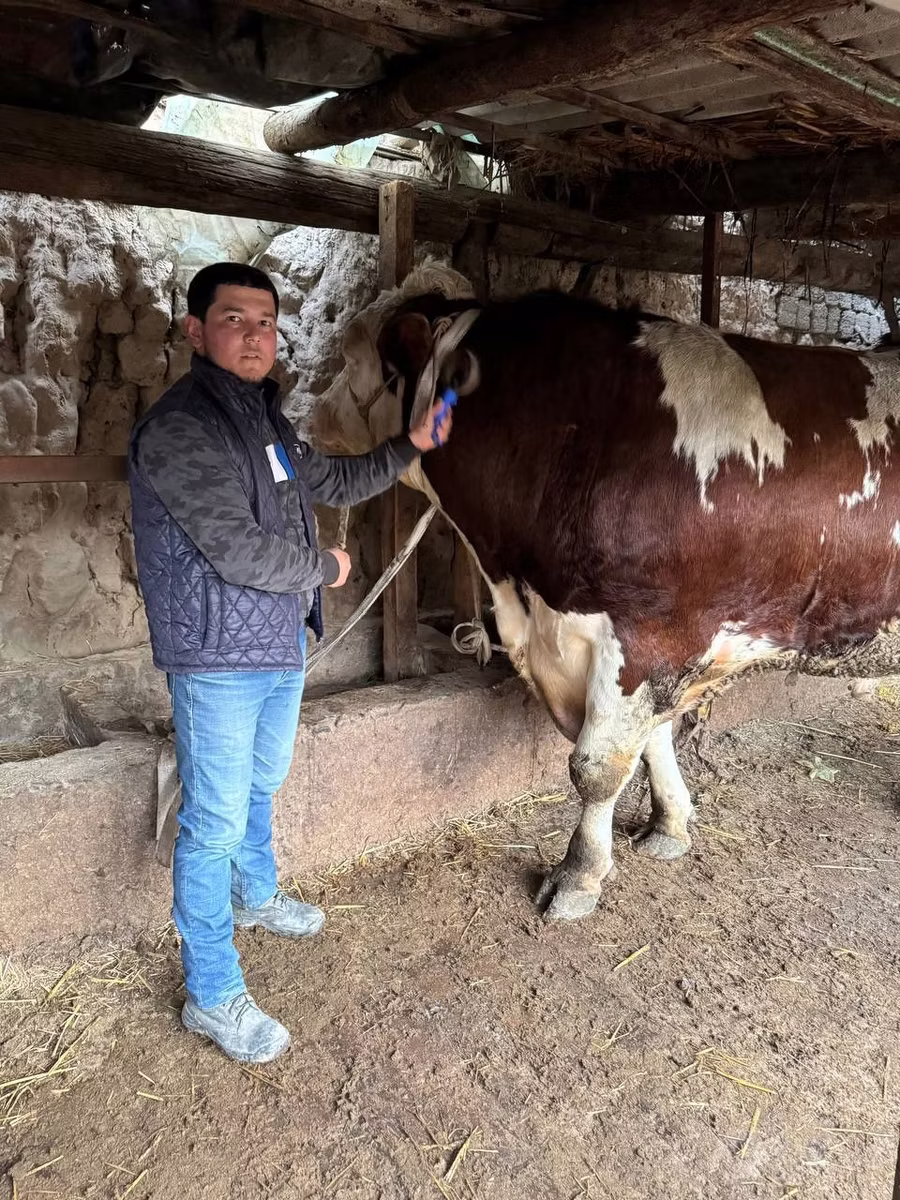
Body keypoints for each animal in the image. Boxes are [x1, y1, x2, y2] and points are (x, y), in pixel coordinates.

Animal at [312, 263, 900, 921]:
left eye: (352, 353)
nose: (309, 415)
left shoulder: (649, 634)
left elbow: (597, 766)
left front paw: (579, 875)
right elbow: (654, 740)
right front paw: (670, 825)